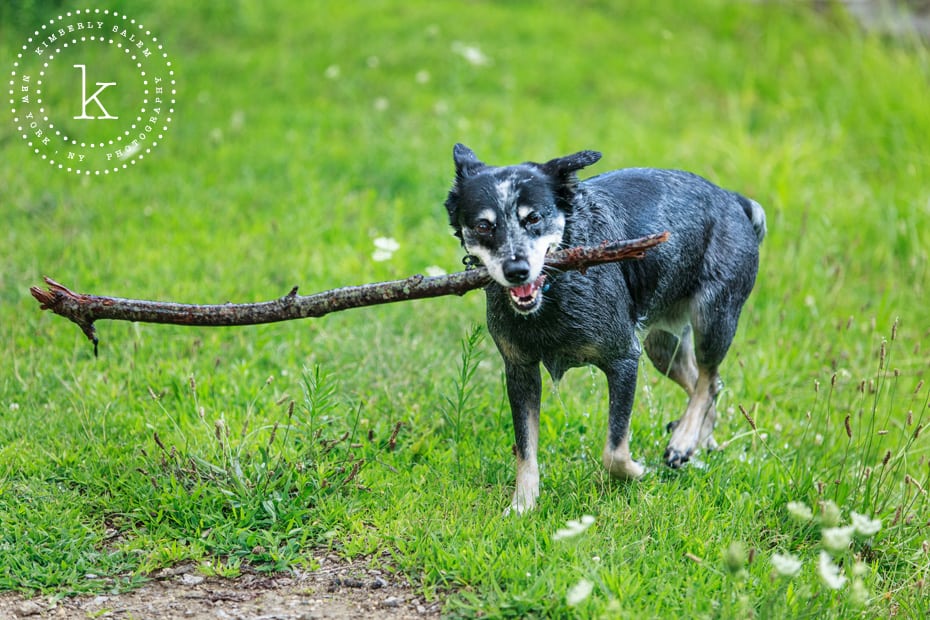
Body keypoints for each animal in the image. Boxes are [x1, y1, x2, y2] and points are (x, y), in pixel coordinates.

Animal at [446, 144, 764, 512]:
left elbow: (614, 449)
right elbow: (526, 448)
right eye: (484, 226)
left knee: (708, 378)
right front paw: (522, 505)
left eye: (534, 218)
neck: (554, 291)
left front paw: (638, 470)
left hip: (713, 319)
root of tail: (733, 200)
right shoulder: (520, 370)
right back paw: (699, 436)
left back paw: (683, 441)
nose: (517, 270)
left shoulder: (624, 357)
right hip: (661, 346)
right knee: (706, 381)